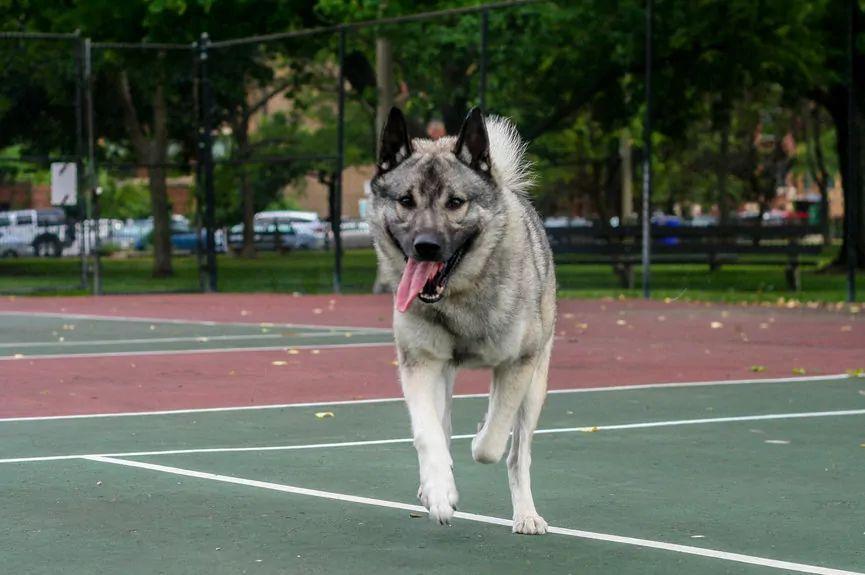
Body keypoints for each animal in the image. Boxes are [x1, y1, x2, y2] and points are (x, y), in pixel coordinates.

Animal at [364, 108, 552, 536]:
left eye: (455, 202)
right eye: (406, 200)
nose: (426, 246)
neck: (458, 296)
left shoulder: (519, 365)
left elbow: (492, 442)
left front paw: (481, 433)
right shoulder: (419, 363)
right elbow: (428, 433)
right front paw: (437, 491)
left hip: (537, 383)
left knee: (518, 454)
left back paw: (526, 514)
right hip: (444, 375)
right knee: (443, 426)